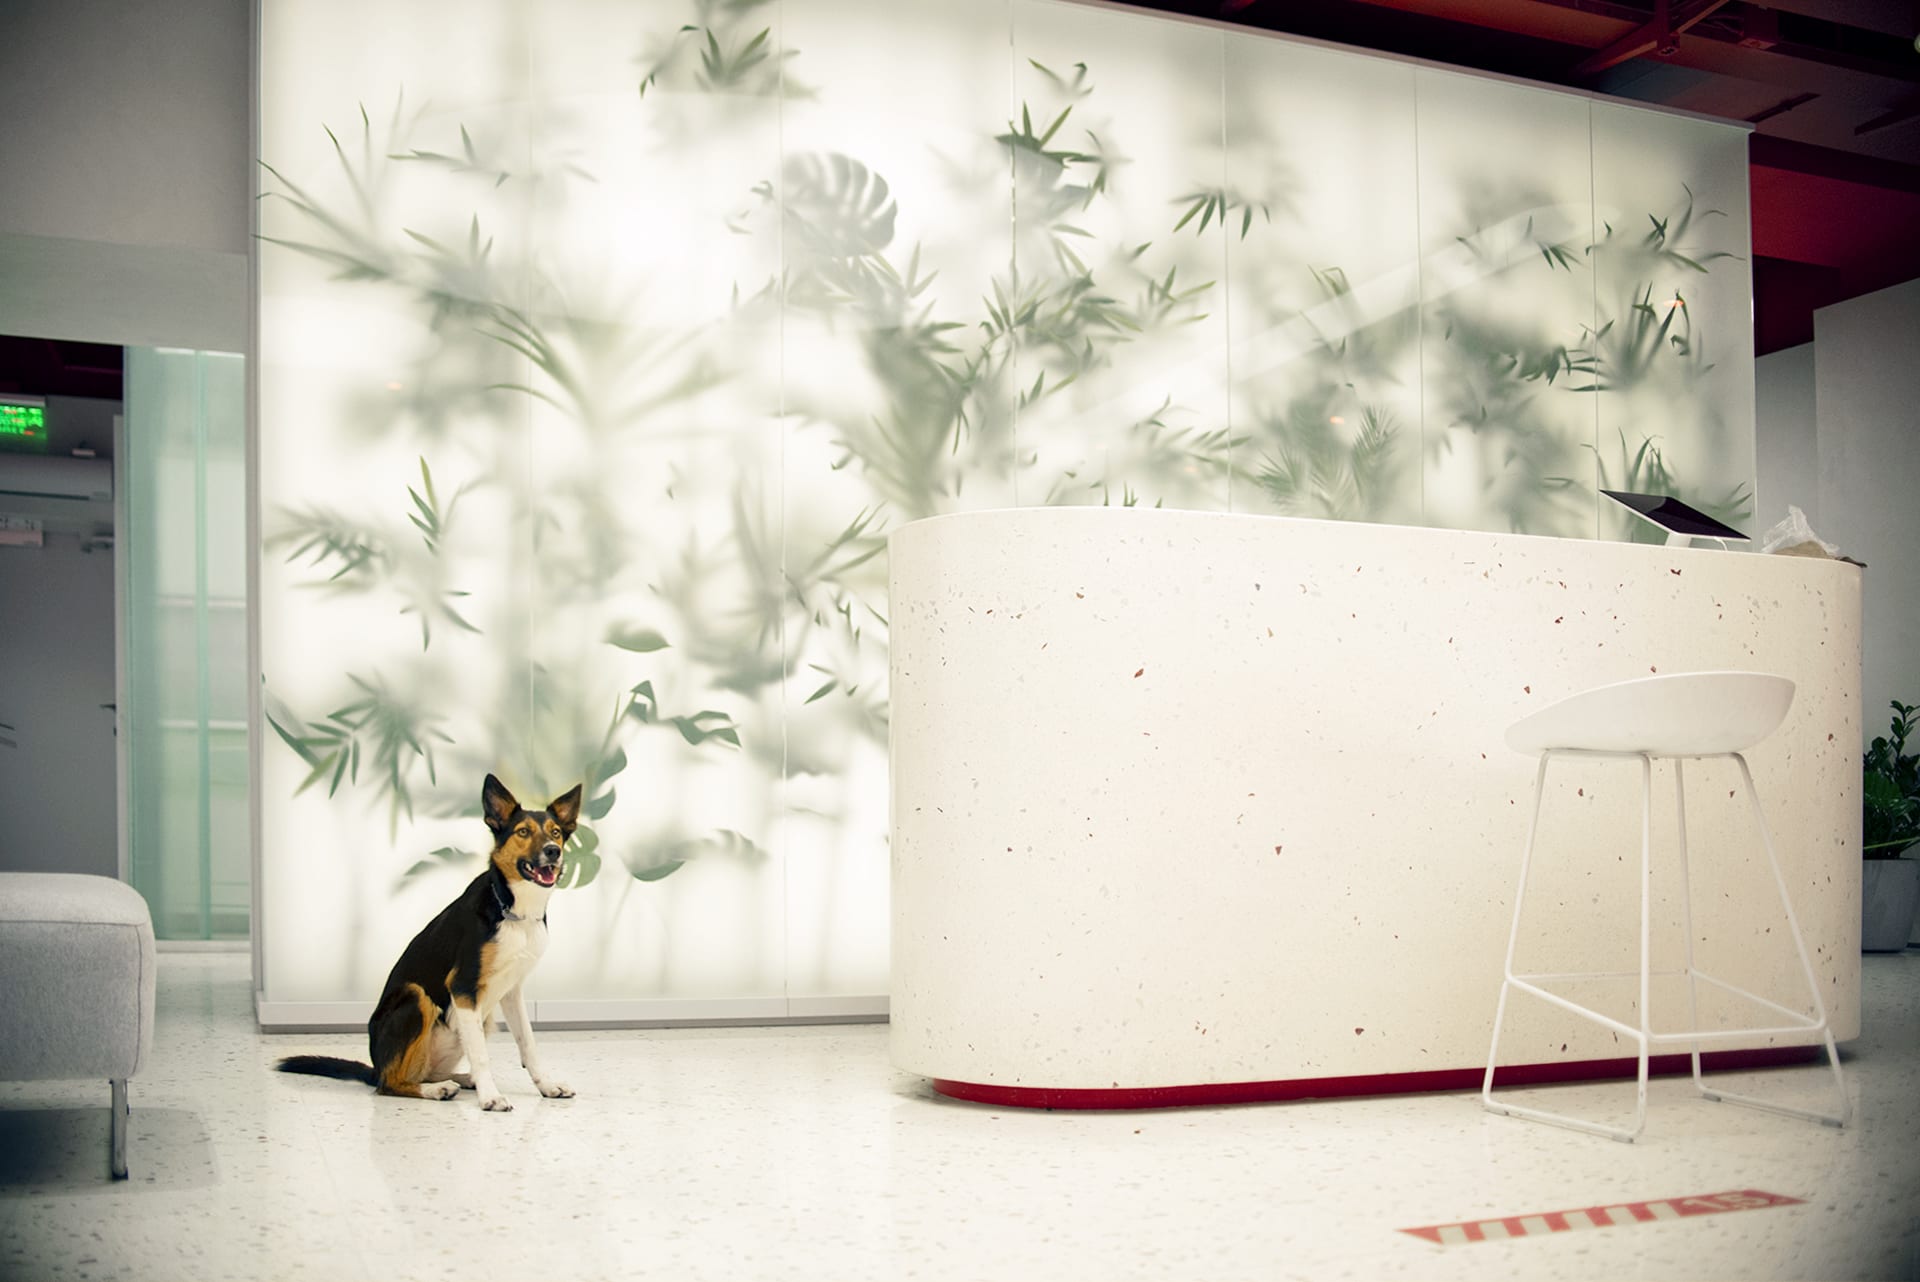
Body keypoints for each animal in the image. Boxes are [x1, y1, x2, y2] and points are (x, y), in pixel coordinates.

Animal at [276, 774, 582, 1111]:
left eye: (556, 832)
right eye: (523, 832)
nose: (553, 851)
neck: (513, 909)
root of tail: (376, 1067)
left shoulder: (511, 991)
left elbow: (528, 1043)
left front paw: (547, 1086)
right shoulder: (462, 987)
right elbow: (481, 1055)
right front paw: (490, 1097)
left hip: (483, 1021)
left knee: (425, 1071)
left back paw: (460, 1080)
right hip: (416, 997)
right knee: (391, 1083)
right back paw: (438, 1090)